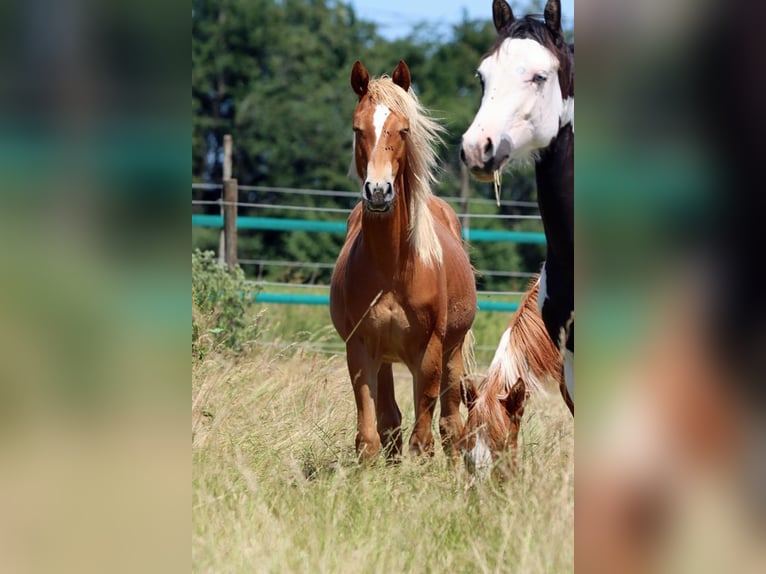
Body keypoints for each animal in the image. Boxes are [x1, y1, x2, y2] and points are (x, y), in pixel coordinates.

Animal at [330, 60, 477, 462]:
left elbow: (423, 438)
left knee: (451, 425)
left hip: (452, 353)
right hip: (386, 358)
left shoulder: (430, 352)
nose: (378, 192)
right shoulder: (360, 348)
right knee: (391, 421)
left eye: (403, 130)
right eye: (357, 129)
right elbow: (370, 436)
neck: (394, 267)